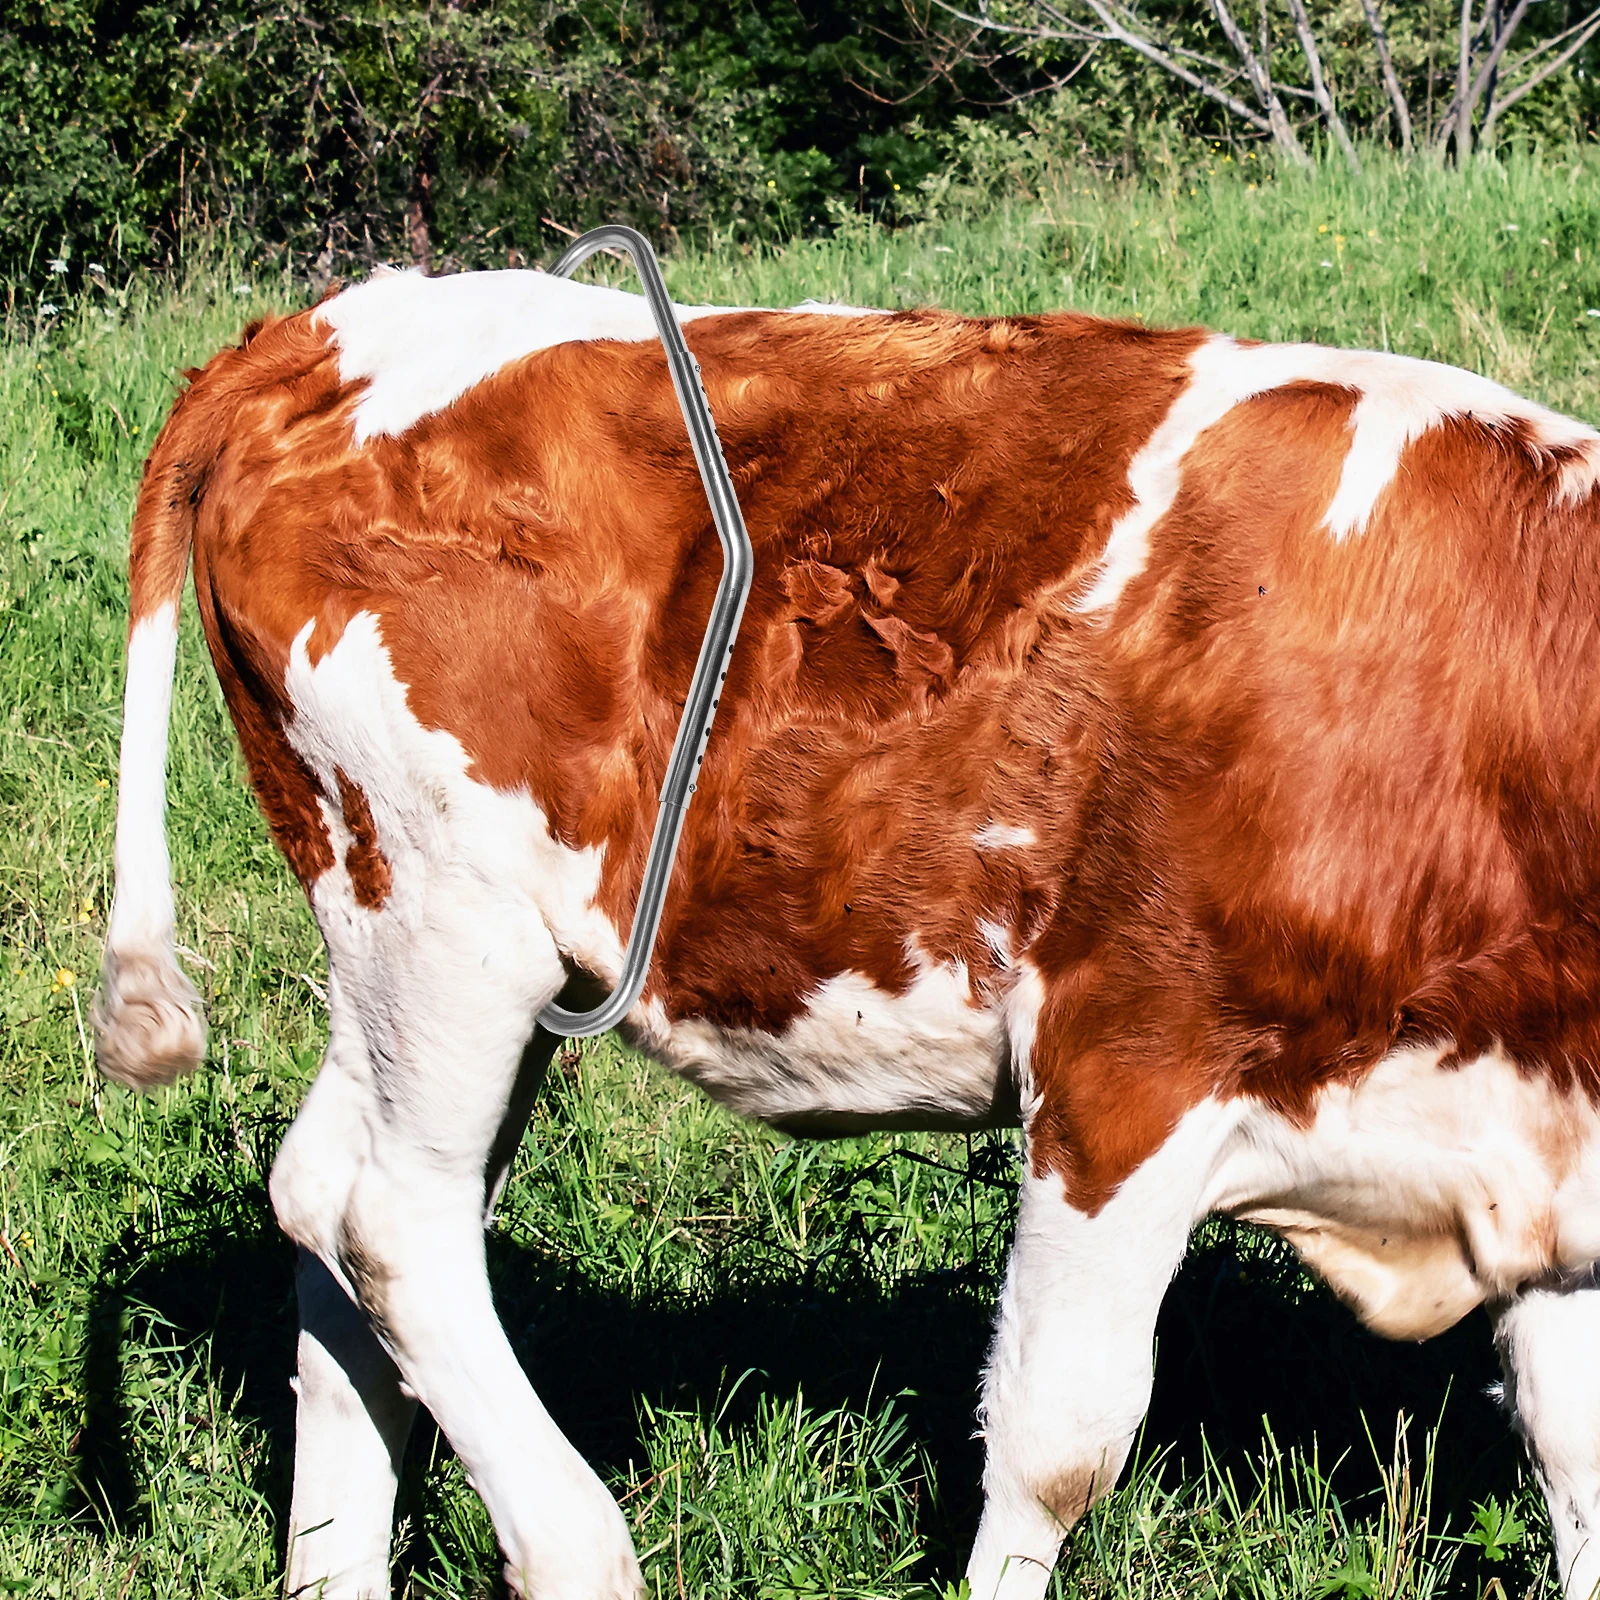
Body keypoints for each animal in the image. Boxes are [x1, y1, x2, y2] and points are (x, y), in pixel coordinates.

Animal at [92, 261, 1600, 1600]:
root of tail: (319, 324)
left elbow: (1576, 1459)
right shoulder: (1125, 1066)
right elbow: (1056, 1448)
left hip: (440, 964)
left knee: (329, 1195)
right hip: (437, 918)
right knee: (388, 1218)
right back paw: (581, 1555)